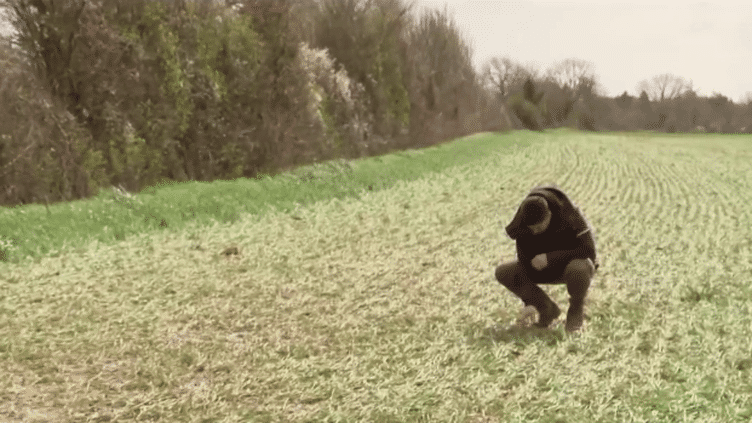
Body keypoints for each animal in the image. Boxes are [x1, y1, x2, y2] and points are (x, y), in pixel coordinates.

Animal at [494, 187, 600, 332]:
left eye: (540, 226)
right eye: (532, 228)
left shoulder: (575, 216)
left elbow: (587, 248)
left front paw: (540, 260)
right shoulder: (519, 225)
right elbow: (523, 258)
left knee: (579, 266)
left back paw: (573, 322)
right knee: (505, 273)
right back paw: (548, 313)